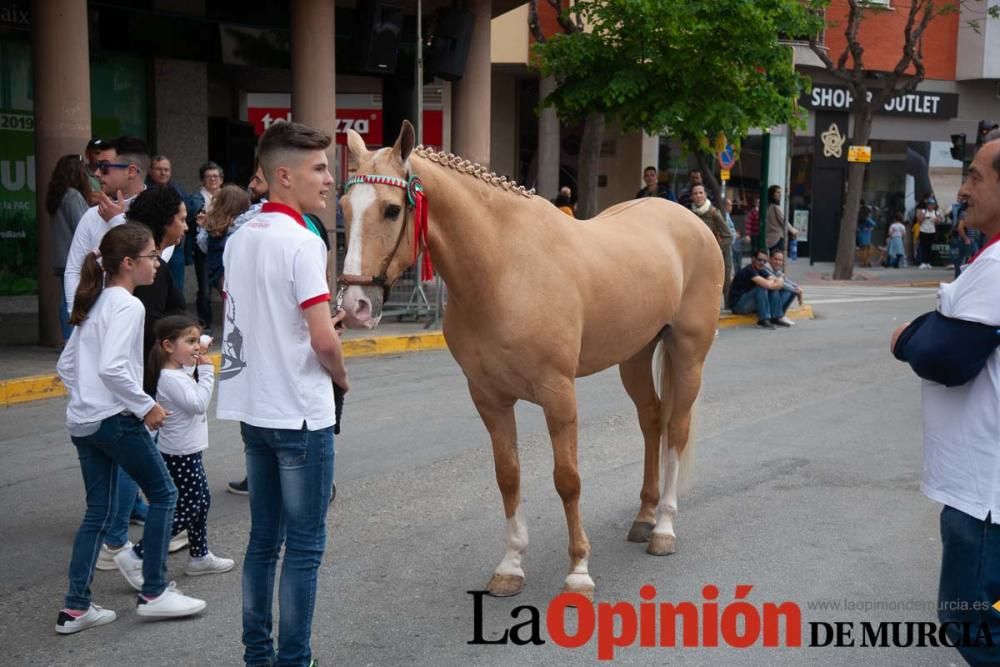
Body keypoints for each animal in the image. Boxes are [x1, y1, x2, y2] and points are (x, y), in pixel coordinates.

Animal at [342, 120, 720, 600]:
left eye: (392, 210)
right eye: (343, 208)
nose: (355, 304)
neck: (502, 269)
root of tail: (689, 218)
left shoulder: (558, 394)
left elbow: (567, 479)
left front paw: (578, 571)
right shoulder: (489, 398)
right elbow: (509, 476)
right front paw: (511, 565)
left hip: (688, 354)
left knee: (677, 429)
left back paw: (665, 529)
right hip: (634, 356)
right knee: (652, 422)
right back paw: (644, 518)